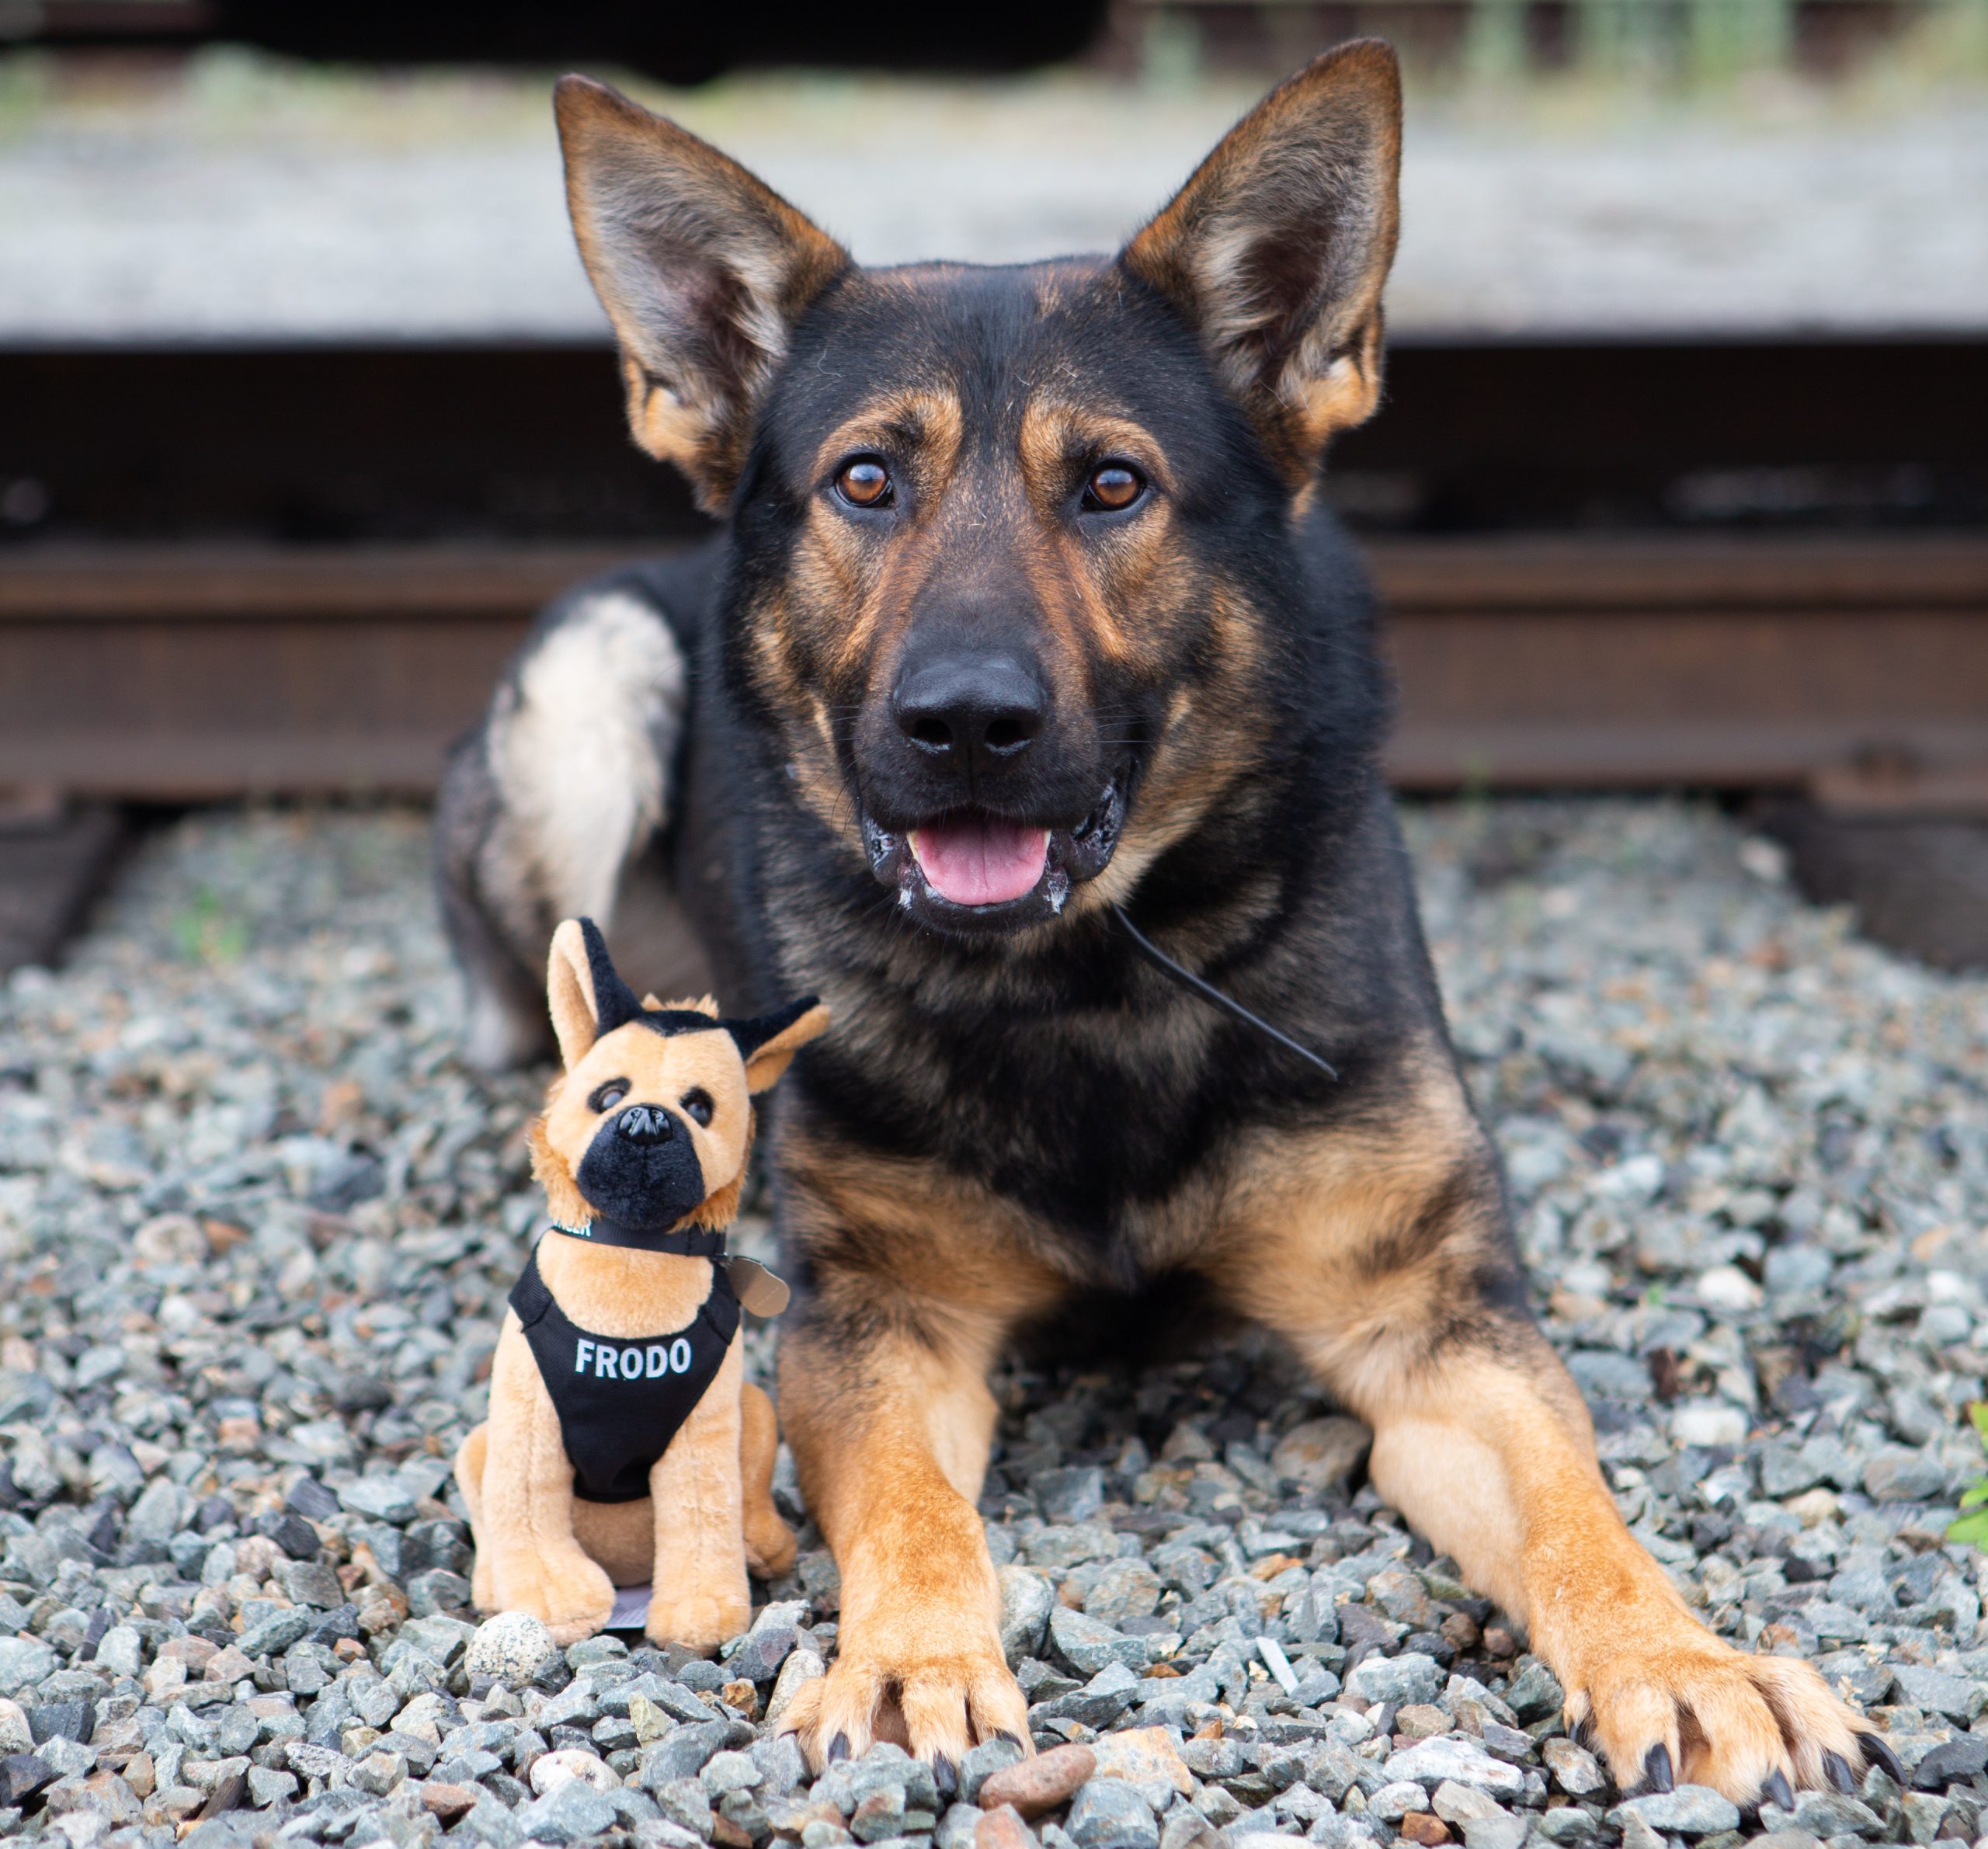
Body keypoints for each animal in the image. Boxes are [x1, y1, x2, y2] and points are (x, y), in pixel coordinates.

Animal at [435, 43, 1892, 1805]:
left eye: (1112, 484)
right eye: (868, 480)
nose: (965, 723)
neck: (1085, 982)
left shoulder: (1433, 1327)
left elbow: (1577, 1506)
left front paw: (1682, 1658)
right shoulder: (883, 1324)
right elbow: (914, 1511)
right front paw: (913, 1659)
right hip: (591, 682)